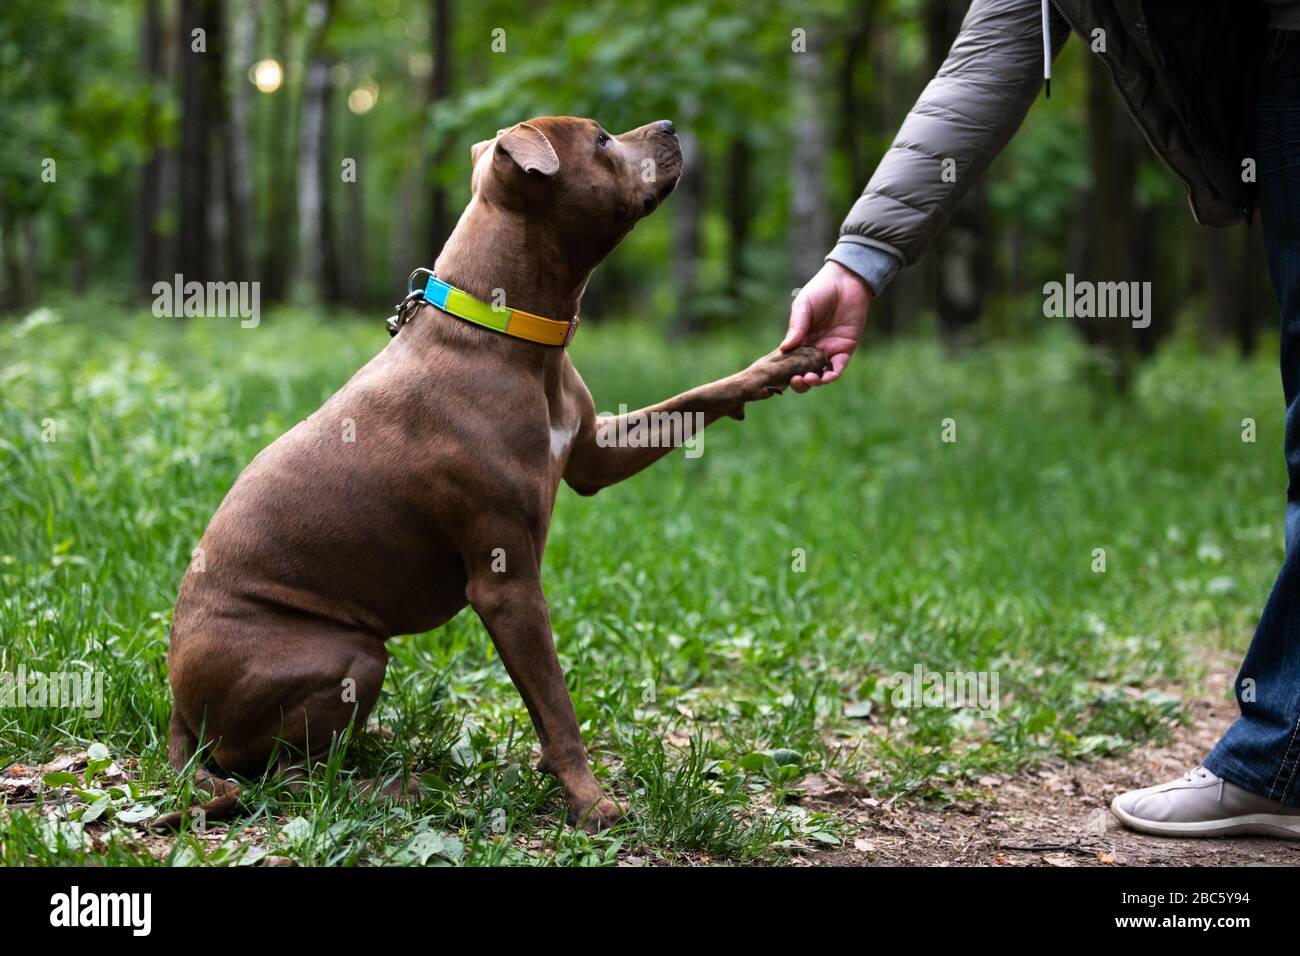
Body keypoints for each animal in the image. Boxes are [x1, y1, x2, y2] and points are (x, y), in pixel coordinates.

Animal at [167, 113, 826, 832]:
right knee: (280, 774)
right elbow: (556, 703)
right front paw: (591, 800)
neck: (511, 333)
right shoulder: (506, 582)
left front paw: (784, 364)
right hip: (349, 655)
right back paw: (390, 788)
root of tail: (177, 709)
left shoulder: (594, 453)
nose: (672, 124)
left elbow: (698, 396)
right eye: (600, 139)